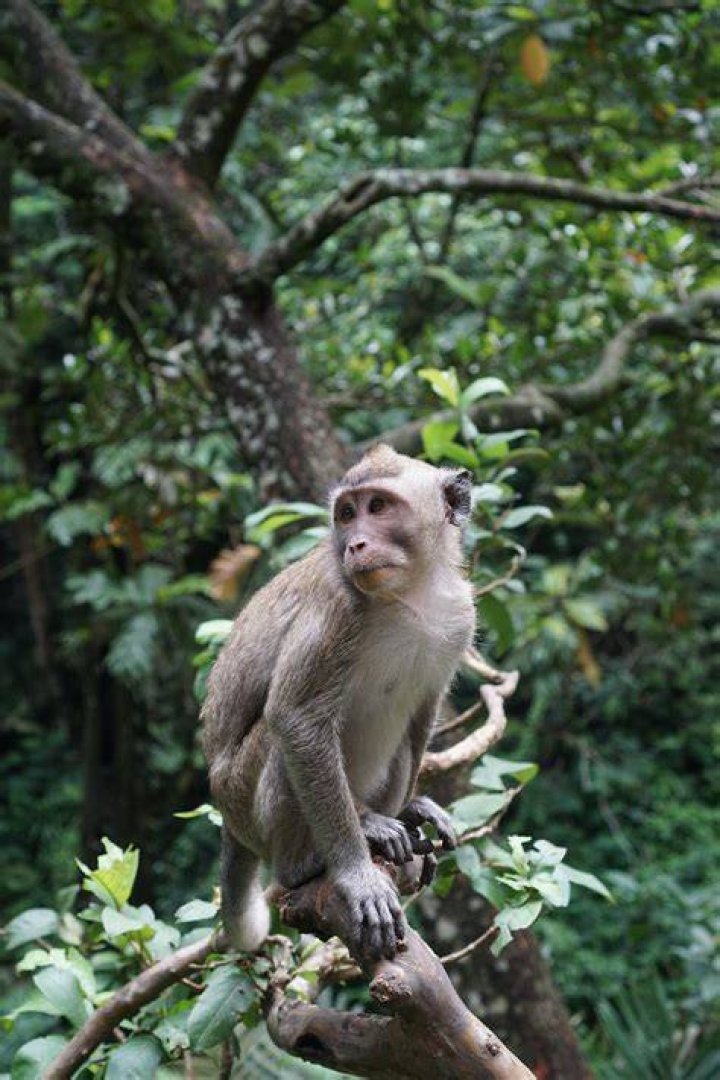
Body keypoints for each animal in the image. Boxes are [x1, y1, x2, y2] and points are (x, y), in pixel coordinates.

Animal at [201, 444, 476, 962]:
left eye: (378, 507)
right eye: (347, 514)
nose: (356, 545)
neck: (408, 593)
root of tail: (227, 819)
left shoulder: (460, 617)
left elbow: (423, 714)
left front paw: (408, 811)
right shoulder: (334, 605)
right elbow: (297, 719)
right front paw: (357, 875)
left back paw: (388, 816)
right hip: (245, 802)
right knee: (280, 739)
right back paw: (317, 855)